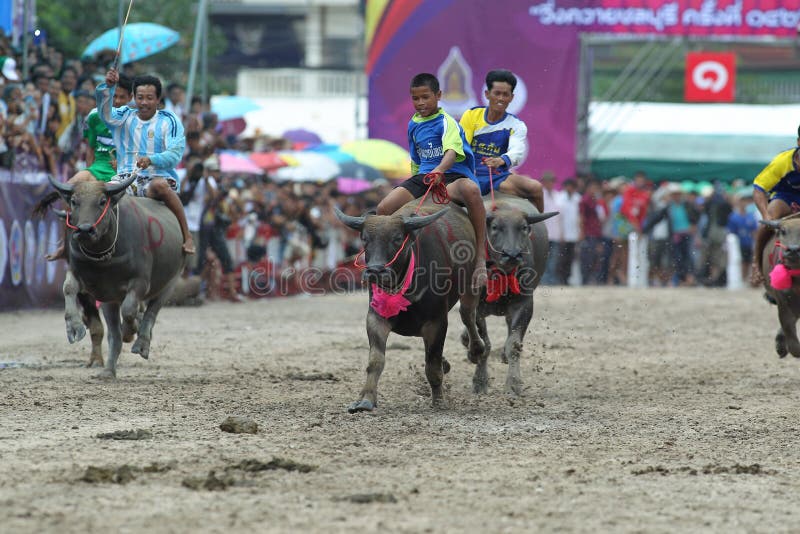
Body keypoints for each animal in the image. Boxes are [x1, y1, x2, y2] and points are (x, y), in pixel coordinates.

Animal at [49, 174, 186, 378]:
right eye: (74, 201)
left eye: (102, 201)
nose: (84, 230)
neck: (104, 259)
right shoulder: (80, 276)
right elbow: (68, 288)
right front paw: (74, 327)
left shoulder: (140, 282)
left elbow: (129, 310)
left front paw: (131, 330)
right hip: (109, 300)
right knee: (114, 334)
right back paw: (108, 370)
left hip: (171, 282)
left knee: (151, 312)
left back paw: (141, 343)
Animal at [334, 201, 484, 414]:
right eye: (364, 238)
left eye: (397, 238)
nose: (375, 271)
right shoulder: (375, 318)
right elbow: (375, 362)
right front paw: (365, 400)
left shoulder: (437, 322)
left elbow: (432, 366)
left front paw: (439, 401)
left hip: (471, 284)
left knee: (468, 315)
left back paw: (477, 349)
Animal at [462, 195, 556, 396]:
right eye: (495, 227)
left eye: (524, 227)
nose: (512, 254)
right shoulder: (477, 307)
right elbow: (485, 343)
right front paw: (480, 381)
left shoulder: (524, 303)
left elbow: (513, 344)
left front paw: (513, 384)